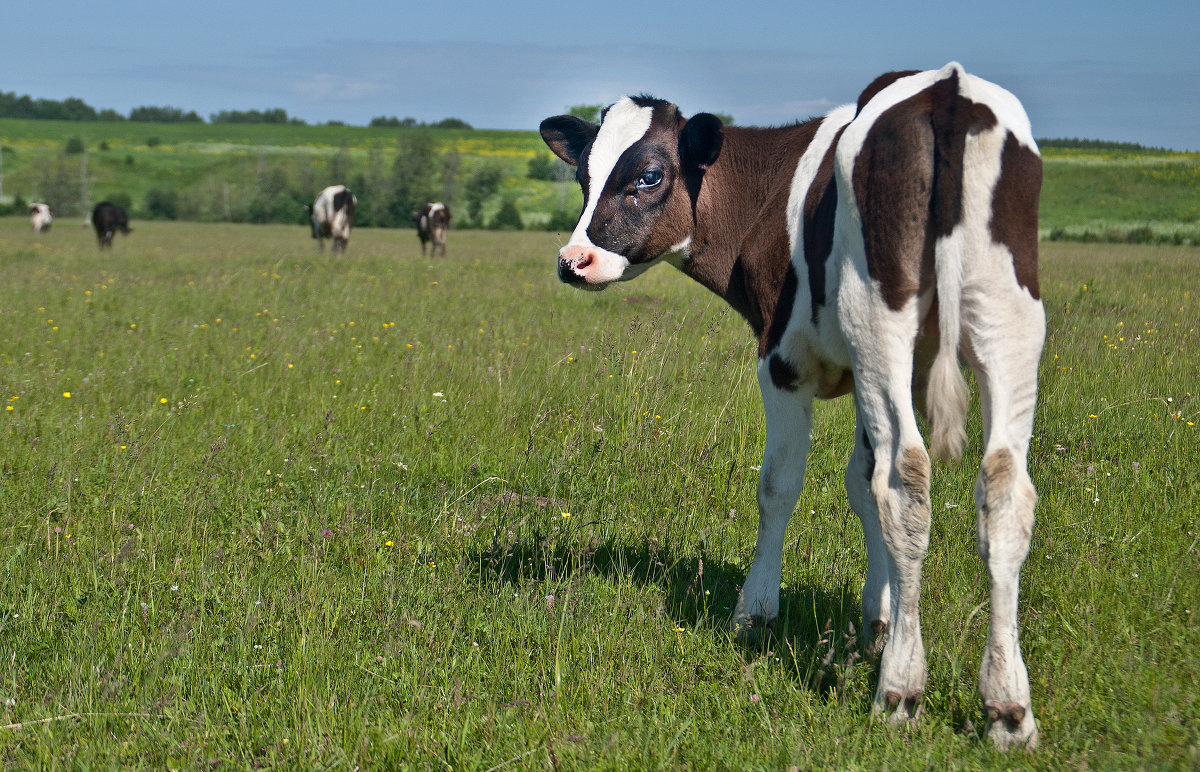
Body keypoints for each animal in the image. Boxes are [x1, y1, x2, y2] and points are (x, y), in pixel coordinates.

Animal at [540, 63, 1046, 753]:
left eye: (648, 175)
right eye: (583, 177)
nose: (574, 261)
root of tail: (947, 88)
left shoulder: (782, 361)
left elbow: (780, 486)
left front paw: (755, 612)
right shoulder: (869, 375)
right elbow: (862, 484)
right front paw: (877, 618)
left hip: (882, 323)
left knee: (908, 480)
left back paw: (901, 690)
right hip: (1007, 321)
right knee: (1001, 489)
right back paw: (1007, 707)